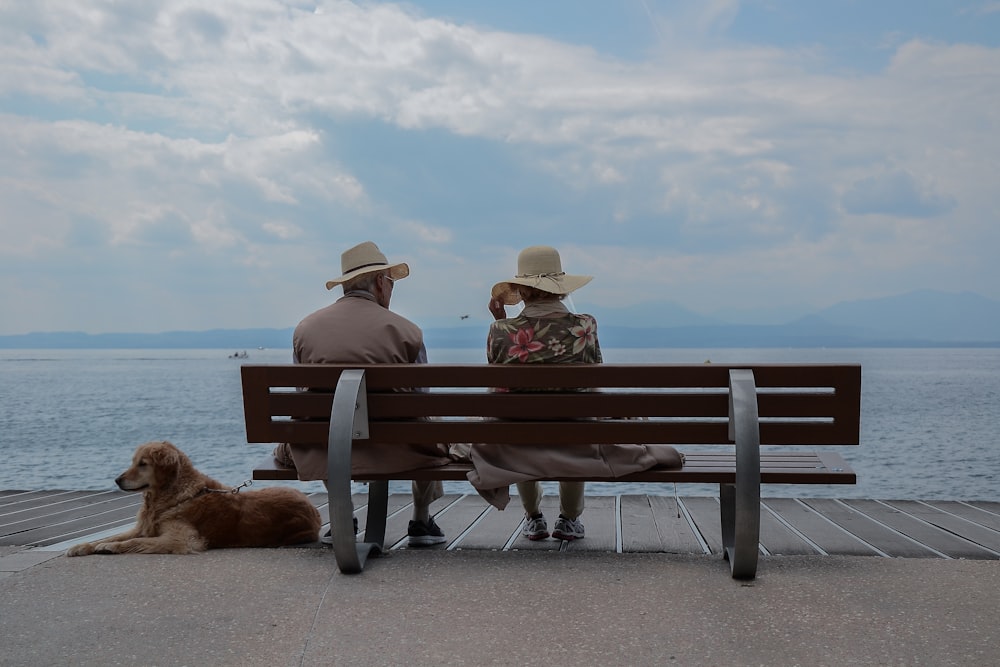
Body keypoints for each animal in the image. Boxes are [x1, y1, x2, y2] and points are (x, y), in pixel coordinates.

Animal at [66, 440, 322, 556]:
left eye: (143, 464)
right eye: (133, 461)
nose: (117, 480)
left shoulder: (182, 540)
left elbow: (132, 542)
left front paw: (110, 547)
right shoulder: (144, 527)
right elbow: (116, 535)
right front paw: (82, 546)